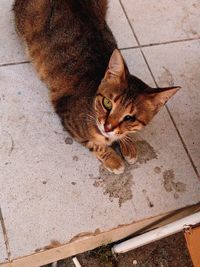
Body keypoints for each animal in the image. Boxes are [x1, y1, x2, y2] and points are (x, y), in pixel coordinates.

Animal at [13, 0, 180, 175]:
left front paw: (127, 144)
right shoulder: (68, 118)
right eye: (107, 103)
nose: (107, 127)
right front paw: (113, 159)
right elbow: (94, 144)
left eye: (130, 118)